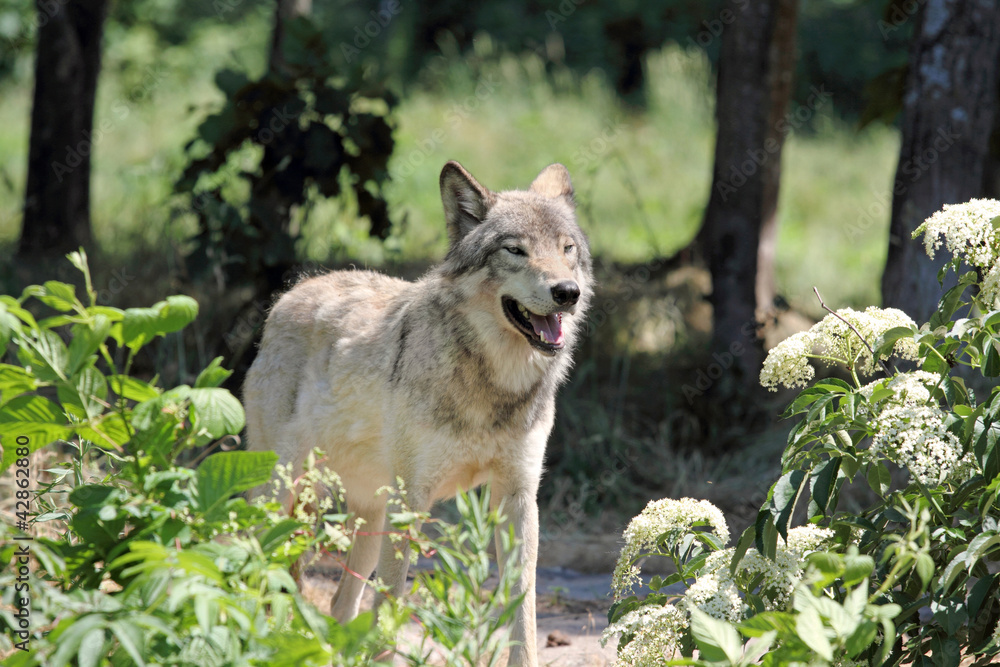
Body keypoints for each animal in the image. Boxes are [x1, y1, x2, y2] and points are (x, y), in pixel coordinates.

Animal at [244, 160, 593, 666]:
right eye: (515, 250)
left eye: (567, 250)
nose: (568, 292)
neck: (492, 386)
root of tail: (290, 295)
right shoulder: (412, 502)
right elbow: (389, 611)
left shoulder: (518, 499)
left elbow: (523, 615)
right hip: (282, 497)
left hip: (367, 518)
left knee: (339, 606)